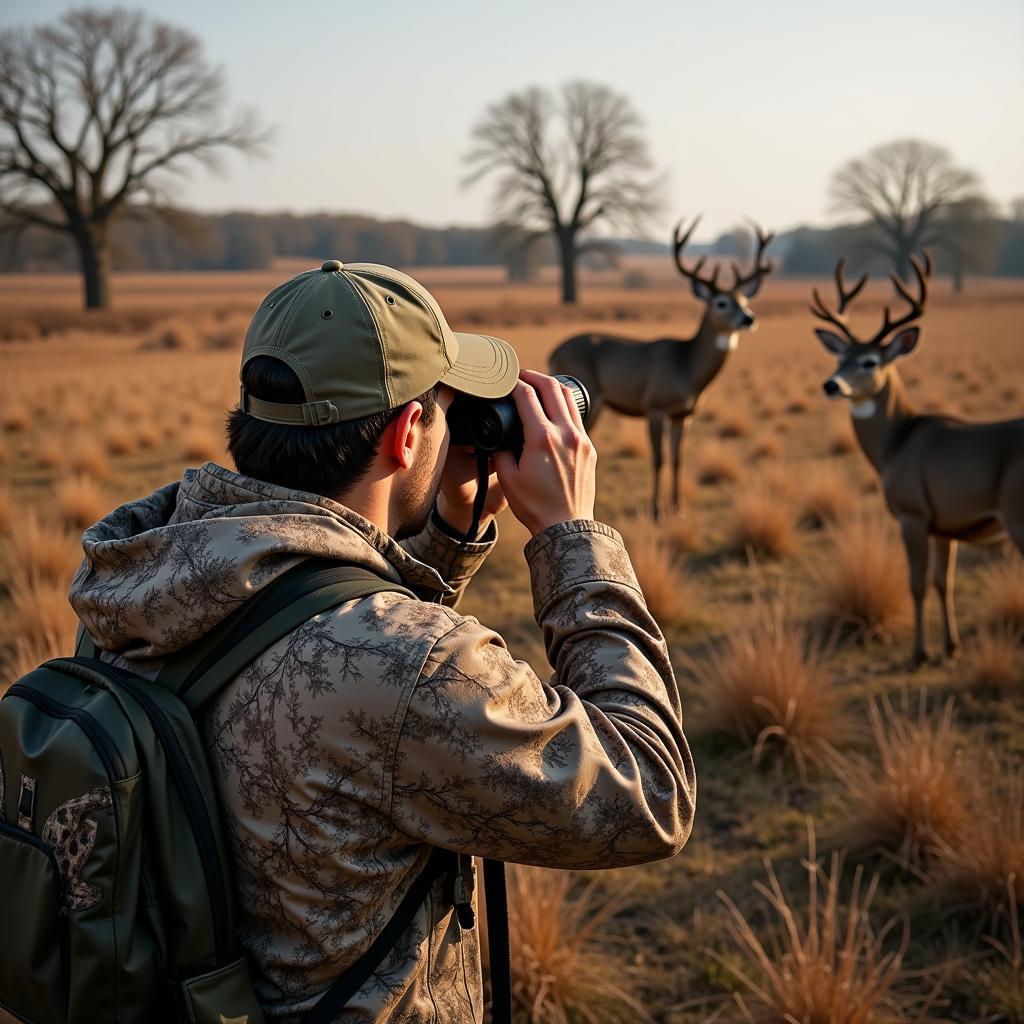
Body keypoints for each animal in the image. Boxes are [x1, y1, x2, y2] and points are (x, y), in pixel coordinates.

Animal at [548, 217, 770, 520]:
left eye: (745, 301)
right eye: (721, 302)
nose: (748, 318)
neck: (686, 367)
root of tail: (554, 352)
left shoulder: (683, 414)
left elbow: (678, 458)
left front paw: (678, 507)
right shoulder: (655, 406)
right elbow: (658, 458)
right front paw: (656, 510)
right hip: (590, 400)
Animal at [806, 252, 1024, 667]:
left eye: (870, 361)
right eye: (840, 355)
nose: (831, 385)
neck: (897, 442)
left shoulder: (913, 512)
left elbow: (918, 584)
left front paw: (920, 653)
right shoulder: (946, 524)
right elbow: (943, 581)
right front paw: (952, 646)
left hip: (1019, 517)